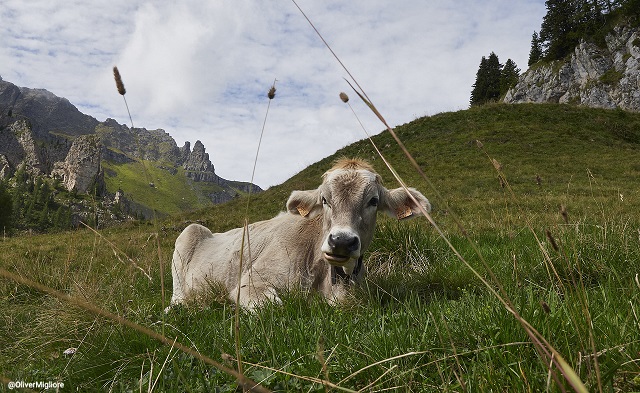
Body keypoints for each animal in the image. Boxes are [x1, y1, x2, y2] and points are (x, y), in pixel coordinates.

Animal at [168, 157, 432, 310]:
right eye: (324, 199)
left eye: (373, 201)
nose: (341, 241)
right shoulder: (250, 282)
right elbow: (274, 307)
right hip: (188, 236)